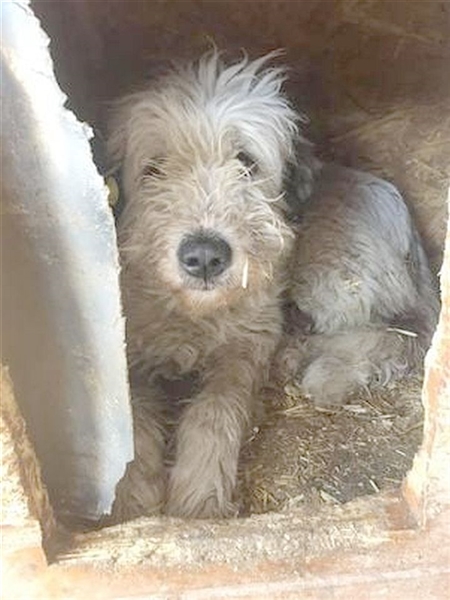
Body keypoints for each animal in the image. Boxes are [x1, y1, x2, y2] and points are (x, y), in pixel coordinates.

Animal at [105, 50, 438, 520]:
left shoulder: (246, 347)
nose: (204, 256)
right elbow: (132, 412)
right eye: (154, 169)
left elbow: (214, 410)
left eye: (246, 162)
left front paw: (199, 493)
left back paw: (322, 370)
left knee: (388, 332)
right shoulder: (128, 348)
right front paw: (134, 494)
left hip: (331, 276)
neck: (194, 312)